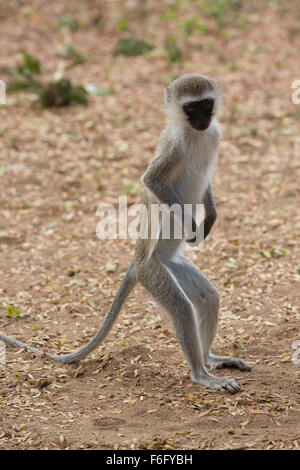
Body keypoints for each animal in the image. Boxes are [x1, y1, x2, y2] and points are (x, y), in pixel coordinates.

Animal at [0, 75, 251, 394]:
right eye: (191, 107)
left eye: (206, 104)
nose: (203, 119)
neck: (193, 134)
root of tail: (138, 259)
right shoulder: (173, 147)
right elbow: (153, 181)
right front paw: (191, 226)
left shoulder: (214, 134)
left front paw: (211, 217)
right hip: (152, 272)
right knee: (182, 308)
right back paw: (201, 373)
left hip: (170, 264)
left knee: (208, 298)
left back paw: (210, 359)